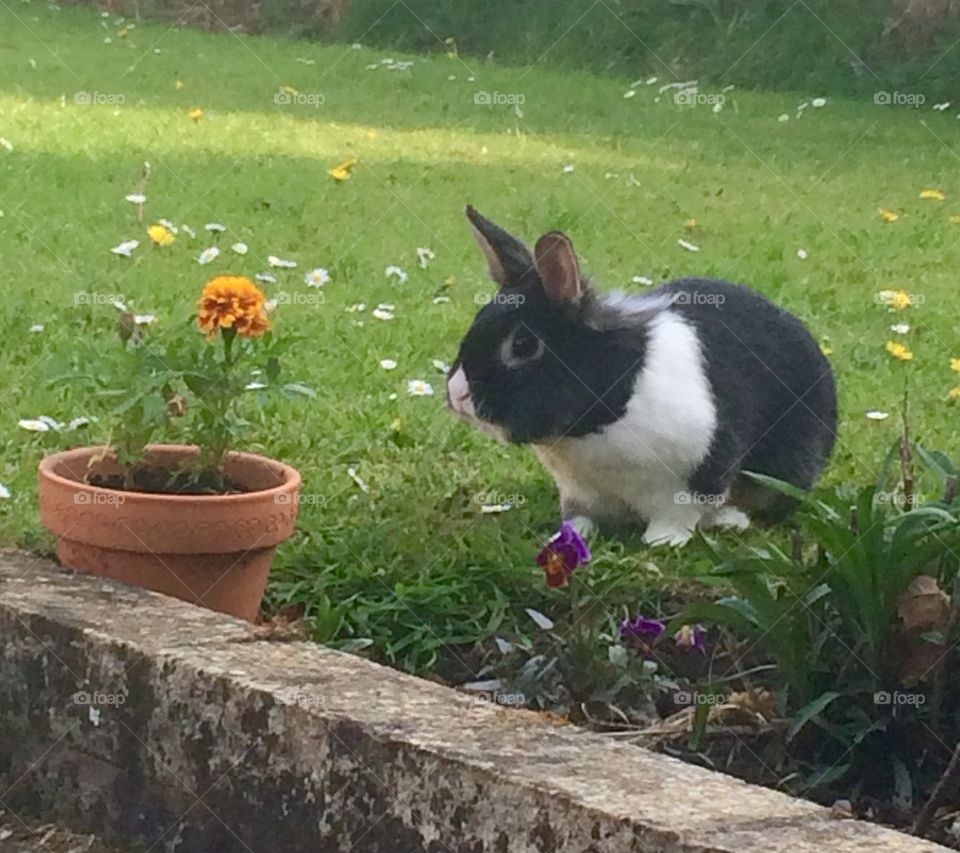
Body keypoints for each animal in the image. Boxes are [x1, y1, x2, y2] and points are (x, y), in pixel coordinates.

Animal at [446, 207, 837, 547]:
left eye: (524, 345)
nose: (456, 394)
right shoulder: (579, 490)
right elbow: (580, 516)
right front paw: (568, 537)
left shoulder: (700, 471)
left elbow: (682, 512)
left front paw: (661, 541)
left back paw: (729, 520)